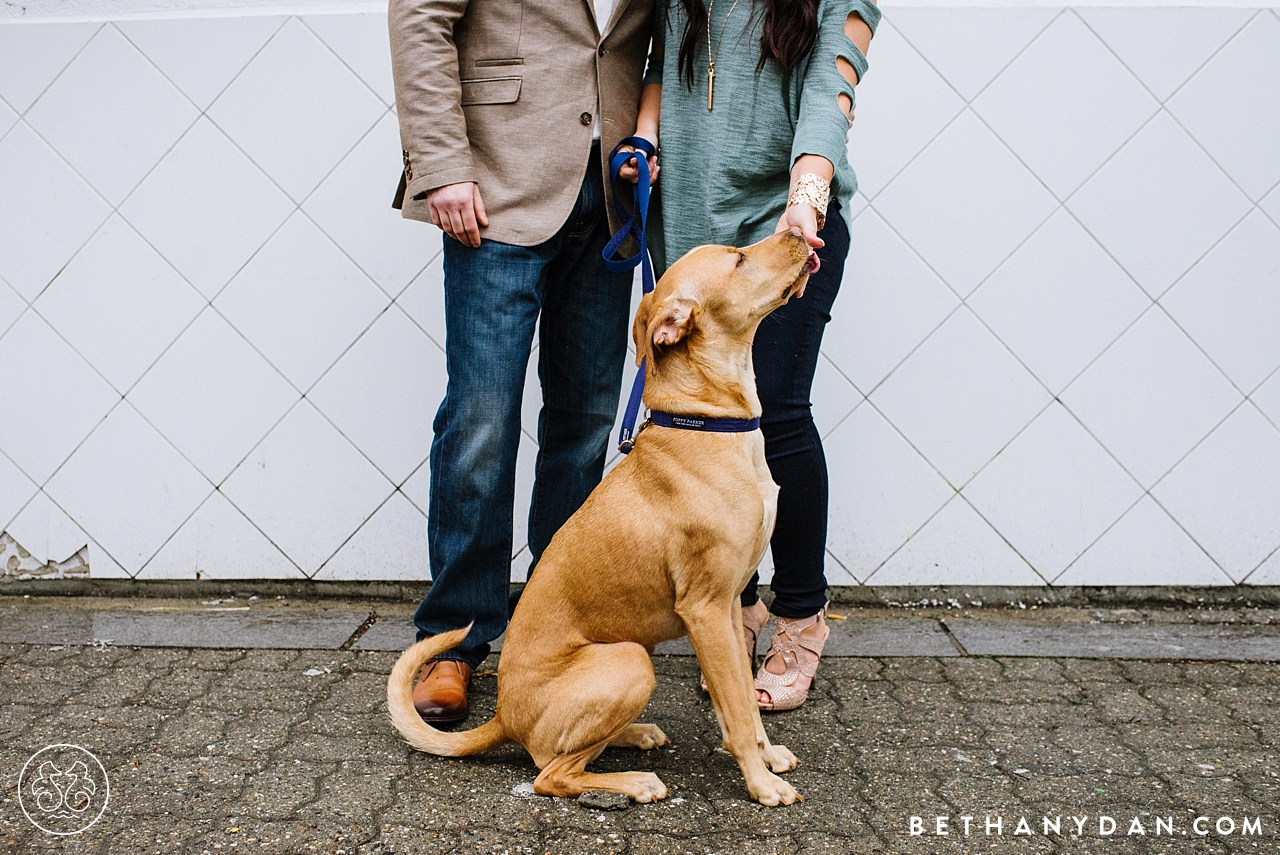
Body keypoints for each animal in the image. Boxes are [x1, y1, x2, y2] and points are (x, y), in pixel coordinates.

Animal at [384, 230, 814, 803]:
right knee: (550, 773)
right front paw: (761, 784)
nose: (802, 231)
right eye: (739, 258)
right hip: (630, 659)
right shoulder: (705, 609)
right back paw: (633, 781)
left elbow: (742, 699)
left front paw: (767, 758)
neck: (708, 424)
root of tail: (503, 717)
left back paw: (635, 734)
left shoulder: (726, 609)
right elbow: (739, 715)